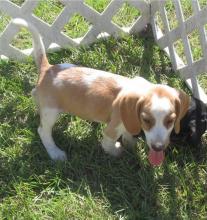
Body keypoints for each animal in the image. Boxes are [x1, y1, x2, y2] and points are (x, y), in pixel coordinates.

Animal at [12, 18, 190, 166]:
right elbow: (110, 145)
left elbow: (128, 134)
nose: (158, 147)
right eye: (146, 120)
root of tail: (47, 69)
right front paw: (119, 151)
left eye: (170, 121)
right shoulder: (111, 131)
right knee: (43, 131)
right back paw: (55, 153)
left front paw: (131, 144)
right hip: (51, 112)